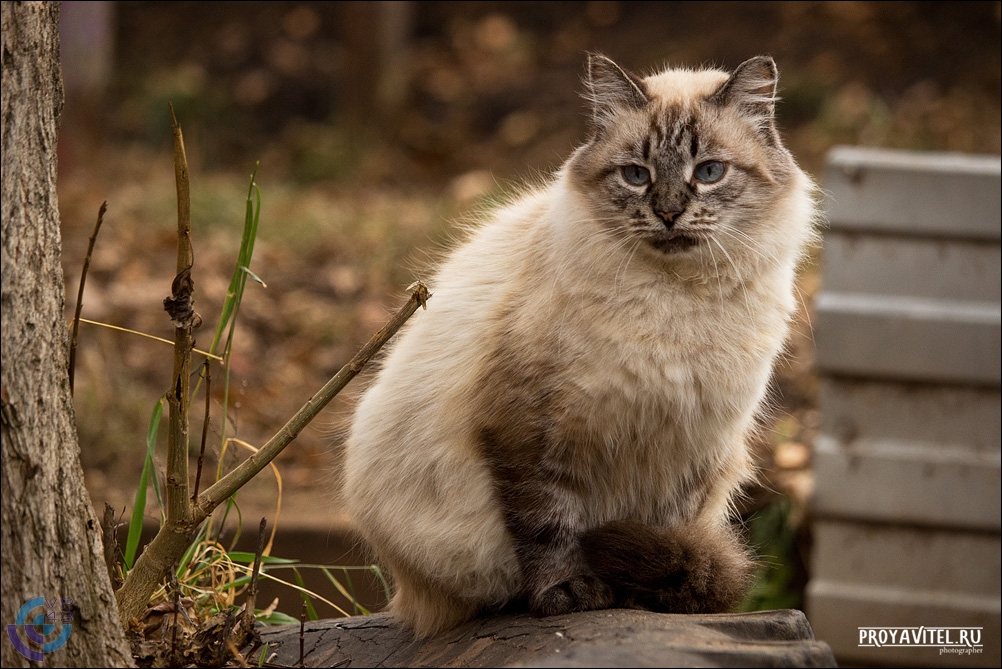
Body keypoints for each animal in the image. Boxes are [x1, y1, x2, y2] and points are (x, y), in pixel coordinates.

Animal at [340, 52, 817, 636]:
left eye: (709, 172)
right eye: (637, 175)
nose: (668, 212)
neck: (675, 300)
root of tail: (409, 599)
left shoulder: (687, 448)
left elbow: (669, 535)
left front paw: (646, 599)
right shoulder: (529, 433)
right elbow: (549, 528)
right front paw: (570, 593)